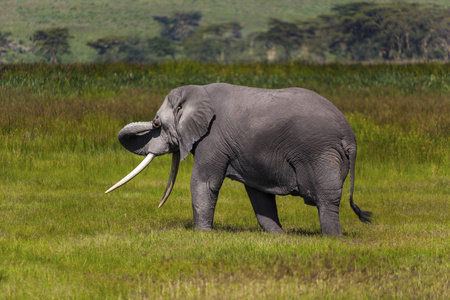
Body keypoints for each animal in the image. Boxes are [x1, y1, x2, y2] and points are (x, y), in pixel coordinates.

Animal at [106, 83, 372, 236]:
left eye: (156, 124)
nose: (154, 123)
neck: (198, 91)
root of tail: (350, 137)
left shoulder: (212, 136)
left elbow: (205, 182)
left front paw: (202, 236)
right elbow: (258, 193)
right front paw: (279, 237)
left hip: (319, 152)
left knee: (327, 198)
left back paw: (333, 239)